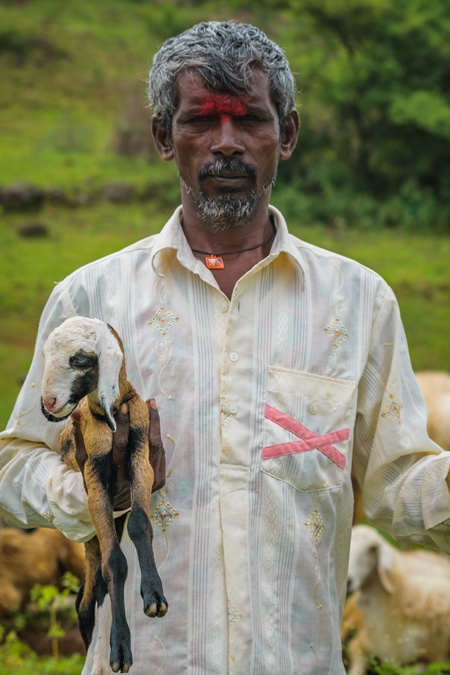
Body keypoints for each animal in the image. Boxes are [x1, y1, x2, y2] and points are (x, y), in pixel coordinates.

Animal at [40, 318, 167, 675]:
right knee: (84, 602)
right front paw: (120, 648)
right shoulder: (94, 476)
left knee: (91, 591)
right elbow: (116, 563)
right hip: (90, 540)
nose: (48, 404)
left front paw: (154, 595)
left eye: (80, 359)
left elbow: (139, 524)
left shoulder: (140, 456)